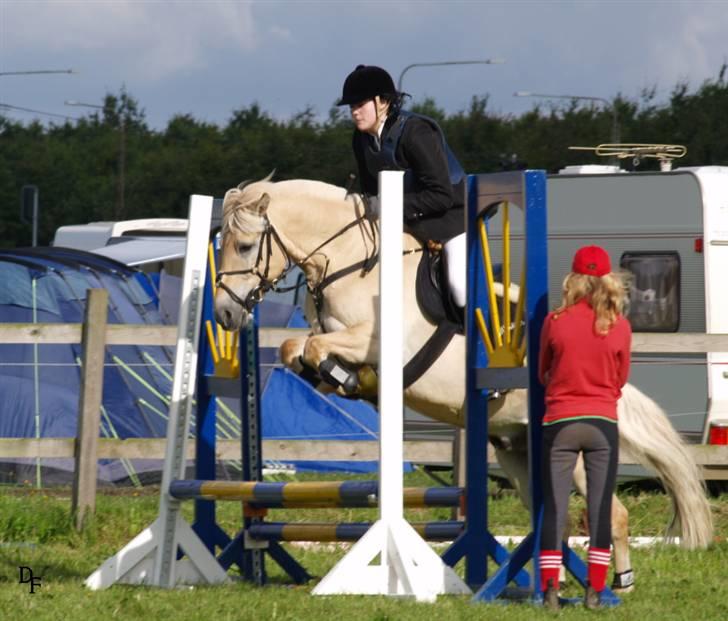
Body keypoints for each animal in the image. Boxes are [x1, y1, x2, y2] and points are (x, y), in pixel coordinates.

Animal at [213, 174, 712, 592]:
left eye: (245, 246)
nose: (225, 315)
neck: (353, 265)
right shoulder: (327, 335)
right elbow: (295, 347)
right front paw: (338, 379)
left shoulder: (380, 343)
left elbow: (320, 349)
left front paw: (348, 377)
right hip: (519, 452)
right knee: (561, 518)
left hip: (566, 447)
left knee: (615, 514)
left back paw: (614, 585)